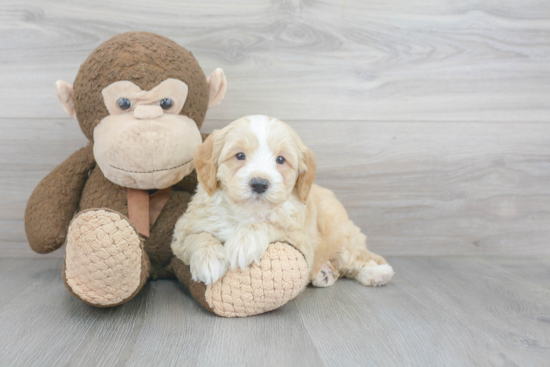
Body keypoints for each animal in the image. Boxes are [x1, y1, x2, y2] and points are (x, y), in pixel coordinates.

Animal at [170, 115, 394, 288]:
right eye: (240, 155)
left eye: (280, 160)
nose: (259, 184)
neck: (247, 212)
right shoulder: (183, 230)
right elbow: (198, 236)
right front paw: (209, 261)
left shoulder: (299, 239)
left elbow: (268, 224)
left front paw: (244, 242)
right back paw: (325, 273)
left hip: (343, 236)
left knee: (355, 260)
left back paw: (377, 273)